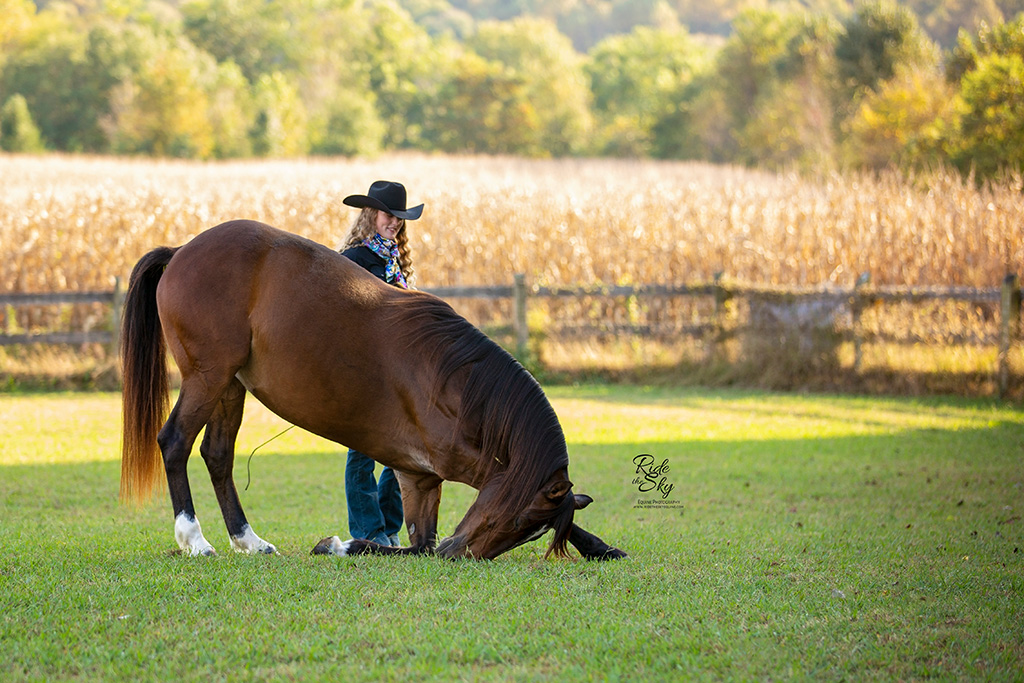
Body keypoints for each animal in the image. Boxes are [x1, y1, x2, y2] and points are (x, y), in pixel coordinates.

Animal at [119, 219, 622, 561]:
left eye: (529, 532)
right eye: (518, 522)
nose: (459, 554)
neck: (453, 383)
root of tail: (182, 250)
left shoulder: (422, 480)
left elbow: (422, 542)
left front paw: (600, 546)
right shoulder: (441, 471)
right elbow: (415, 547)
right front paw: (340, 544)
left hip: (229, 387)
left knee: (218, 456)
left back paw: (250, 540)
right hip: (207, 378)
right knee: (175, 443)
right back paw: (194, 539)